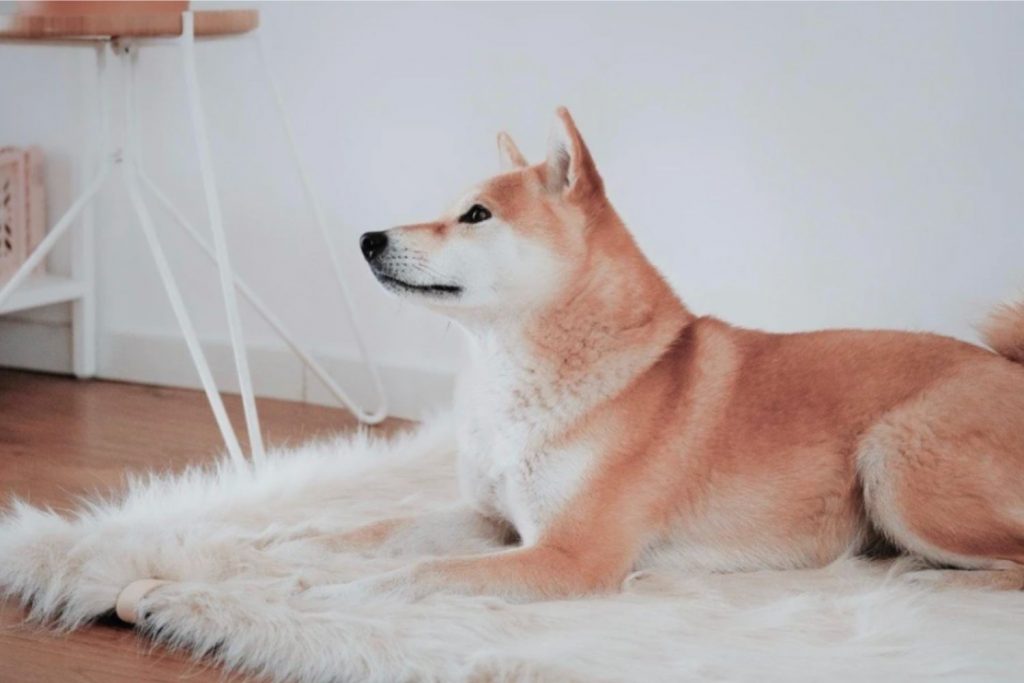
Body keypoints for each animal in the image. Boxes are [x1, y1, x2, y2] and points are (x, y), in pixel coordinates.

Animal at [352, 107, 1024, 598]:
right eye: (448, 211)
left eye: (475, 215)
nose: (367, 238)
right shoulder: (492, 520)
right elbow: (377, 531)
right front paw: (323, 551)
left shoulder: (569, 556)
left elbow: (416, 573)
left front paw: (343, 596)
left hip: (893, 465)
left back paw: (916, 575)